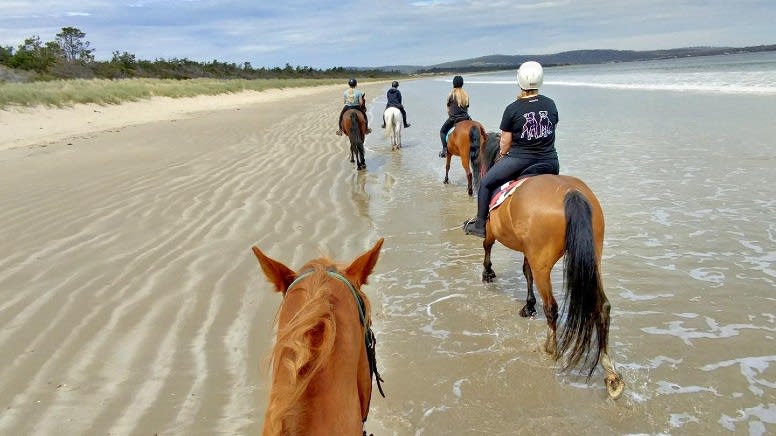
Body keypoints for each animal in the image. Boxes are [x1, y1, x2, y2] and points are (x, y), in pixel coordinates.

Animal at [472, 135, 624, 398]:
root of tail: (571, 193)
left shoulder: (493, 231)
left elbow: (487, 246)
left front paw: (488, 273)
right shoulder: (528, 250)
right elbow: (526, 272)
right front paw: (528, 305)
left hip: (542, 260)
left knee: (551, 307)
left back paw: (550, 347)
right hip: (594, 256)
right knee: (602, 306)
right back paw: (610, 373)